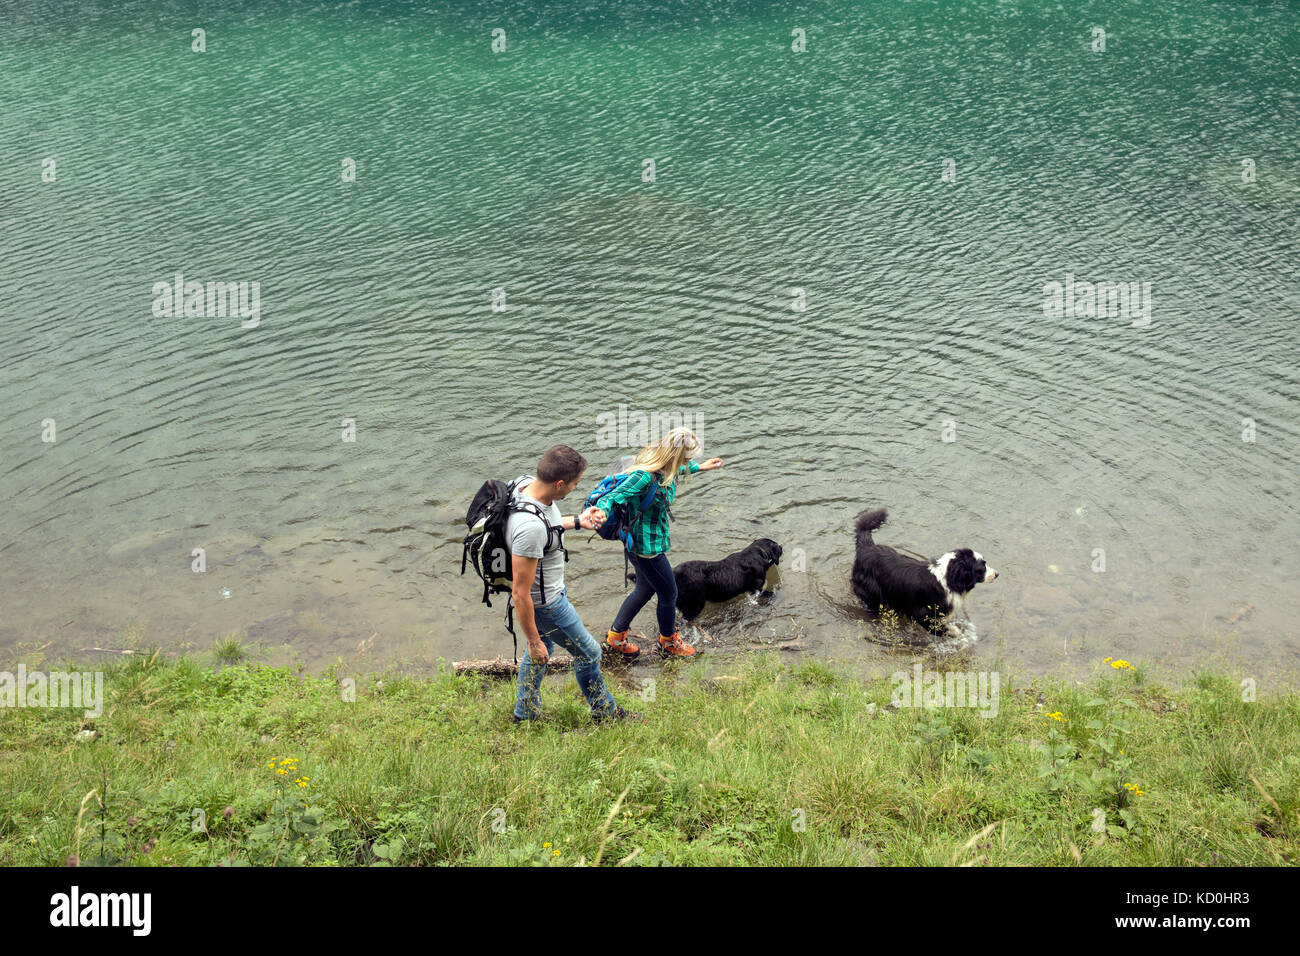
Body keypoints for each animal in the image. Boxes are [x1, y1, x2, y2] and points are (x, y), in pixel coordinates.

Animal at [847, 512, 998, 639]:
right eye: (982, 566)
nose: (997, 574)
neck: (949, 579)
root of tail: (867, 547)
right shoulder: (922, 612)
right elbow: (937, 628)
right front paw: (954, 633)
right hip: (872, 591)